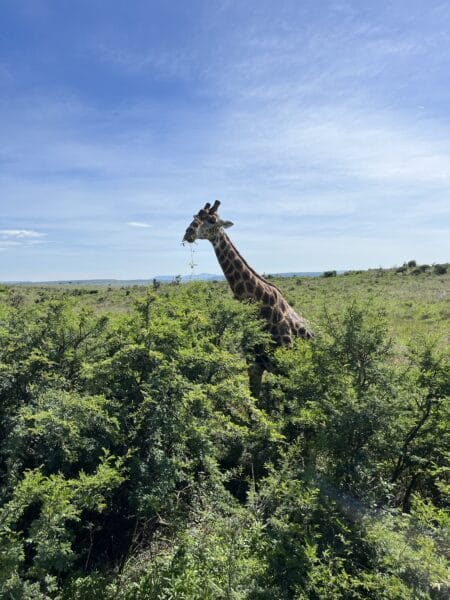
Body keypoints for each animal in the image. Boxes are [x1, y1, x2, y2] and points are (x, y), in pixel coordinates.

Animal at [183, 202, 312, 398]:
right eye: (195, 216)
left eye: (212, 220)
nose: (188, 233)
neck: (260, 305)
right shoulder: (254, 365)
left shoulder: (284, 366)